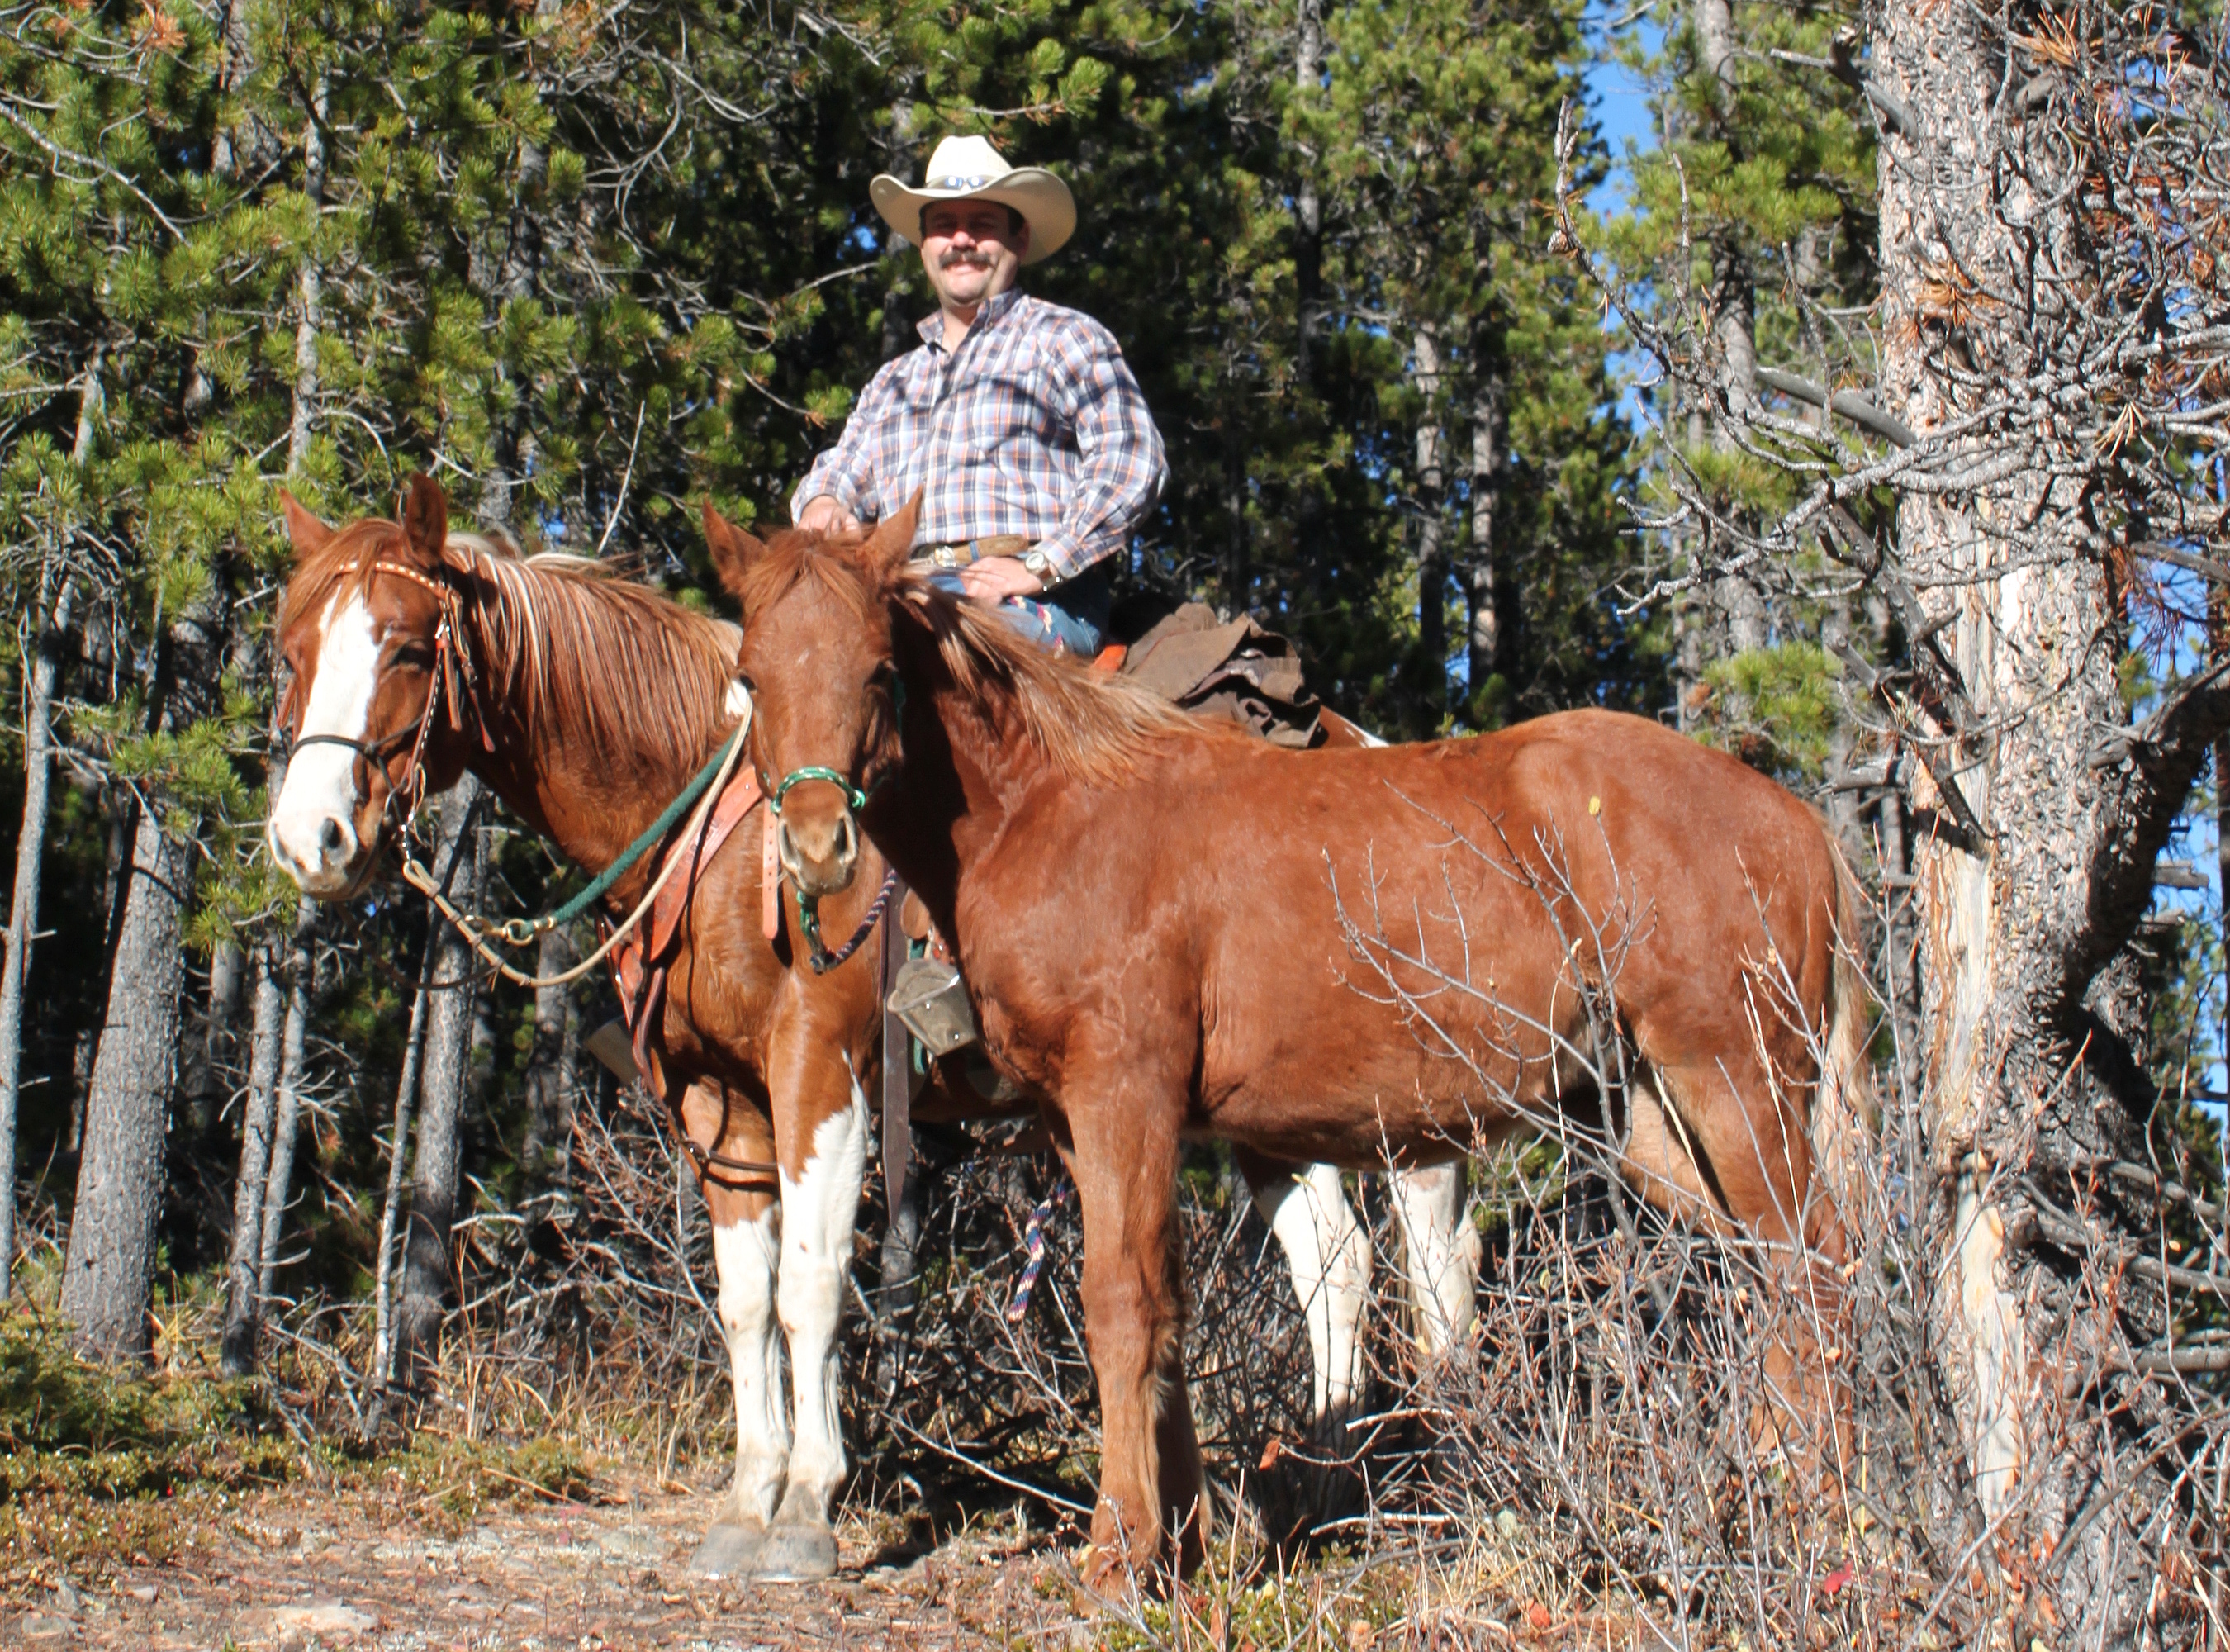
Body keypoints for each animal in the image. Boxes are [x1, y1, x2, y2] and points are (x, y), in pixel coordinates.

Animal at [265, 472, 1480, 1569]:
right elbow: (744, 1300)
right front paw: (748, 1498)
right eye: (289, 650)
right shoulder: (721, 1103)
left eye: (407, 648)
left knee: (1428, 1254)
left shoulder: (823, 1070)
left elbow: (810, 1287)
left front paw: (809, 1505)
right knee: (1335, 1263)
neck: (721, 839)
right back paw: (1316, 1484)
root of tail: (1368, 746)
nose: (308, 840)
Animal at [709, 506, 1864, 1587]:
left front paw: (1118, 1550)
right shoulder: (1083, 1122)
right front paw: (1173, 1541)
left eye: (877, 670)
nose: (816, 848)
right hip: (1649, 1119)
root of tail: (1797, 818)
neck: (1052, 809)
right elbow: (1162, 1306)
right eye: (752, 677)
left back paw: (1815, 1511)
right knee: (1767, 1269)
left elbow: (1118, 1300)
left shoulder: (1122, 1095)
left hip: (1735, 1081)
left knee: (1813, 1260)